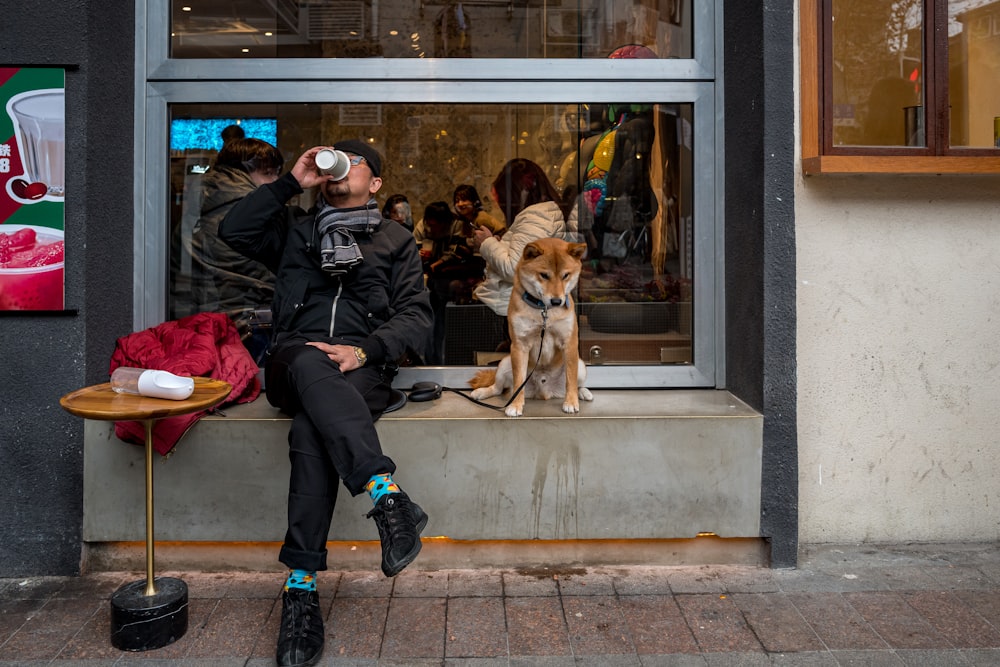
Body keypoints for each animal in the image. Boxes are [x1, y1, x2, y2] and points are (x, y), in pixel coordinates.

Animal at [468, 237, 592, 418]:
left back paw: (583, 393)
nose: (557, 301)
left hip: (581, 366)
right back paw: (482, 392)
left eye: (565, 275)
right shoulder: (520, 345)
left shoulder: (569, 343)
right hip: (504, 363)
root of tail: (543, 392)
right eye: (544, 275)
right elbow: (519, 381)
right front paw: (516, 405)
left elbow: (571, 379)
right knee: (499, 389)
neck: (544, 311)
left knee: (577, 383)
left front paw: (571, 402)